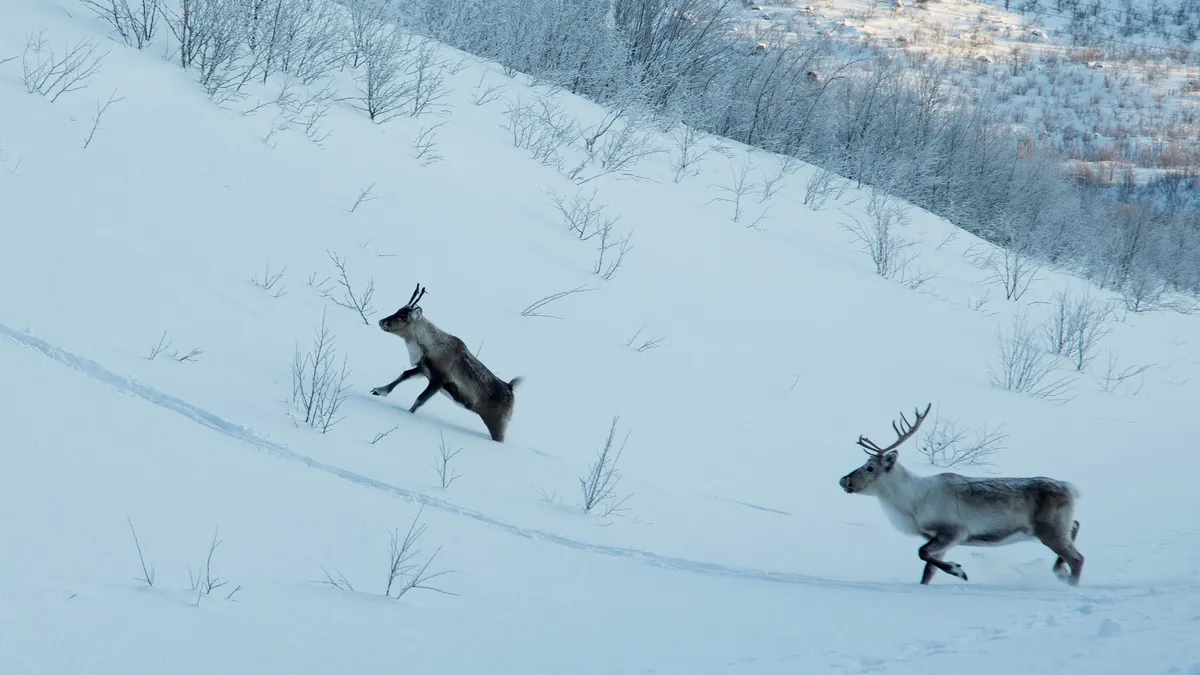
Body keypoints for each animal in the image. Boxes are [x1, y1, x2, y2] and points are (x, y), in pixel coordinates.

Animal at [371, 284, 523, 443]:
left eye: (404, 316)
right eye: (399, 309)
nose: (381, 322)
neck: (429, 345)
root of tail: (511, 388)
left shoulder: (440, 379)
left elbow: (420, 399)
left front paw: (408, 414)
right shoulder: (424, 369)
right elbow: (404, 375)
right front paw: (379, 390)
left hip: (499, 424)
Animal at [838, 403, 1084, 586]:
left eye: (870, 467)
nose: (844, 480)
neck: (912, 504)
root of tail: (1071, 488)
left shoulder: (955, 531)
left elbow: (922, 553)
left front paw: (958, 570)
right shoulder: (938, 538)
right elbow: (927, 572)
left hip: (1050, 529)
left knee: (1078, 559)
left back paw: (1068, 583)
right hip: (1056, 527)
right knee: (1076, 526)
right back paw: (1059, 571)